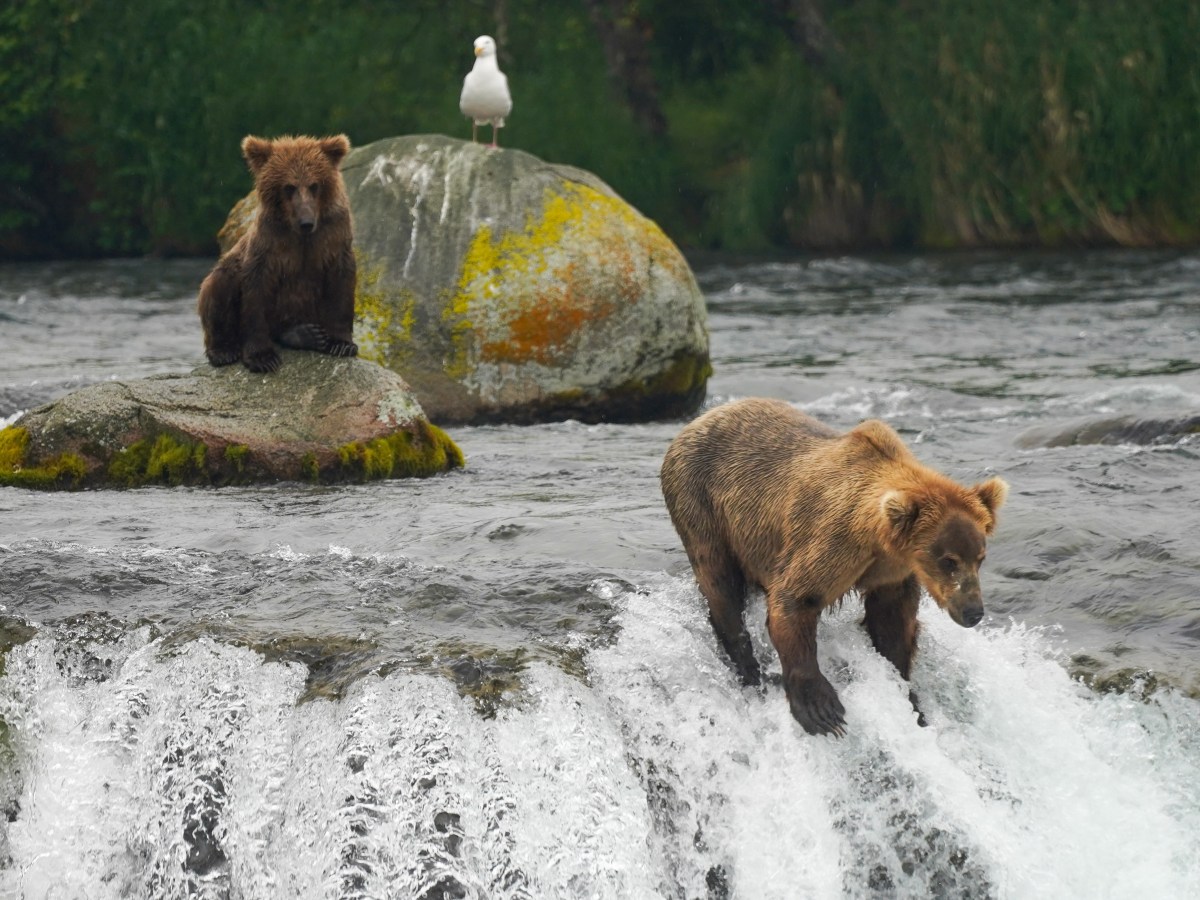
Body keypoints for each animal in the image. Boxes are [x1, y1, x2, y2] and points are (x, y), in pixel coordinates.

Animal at [198, 134, 358, 373]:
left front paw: (342, 343)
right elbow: (256, 291)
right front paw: (262, 358)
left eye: (314, 185)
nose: (306, 222)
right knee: (218, 286)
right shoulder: (269, 242)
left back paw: (305, 334)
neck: (300, 234)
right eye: (289, 187)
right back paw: (223, 350)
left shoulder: (334, 234)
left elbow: (341, 282)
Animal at [660, 397, 1008, 737]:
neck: (879, 541)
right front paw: (821, 709)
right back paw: (749, 670)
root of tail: (696, 421)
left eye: (980, 557)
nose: (973, 612)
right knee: (719, 581)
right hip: (702, 502)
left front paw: (909, 698)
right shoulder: (834, 542)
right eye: (948, 560)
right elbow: (795, 599)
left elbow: (892, 623)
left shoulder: (891, 573)